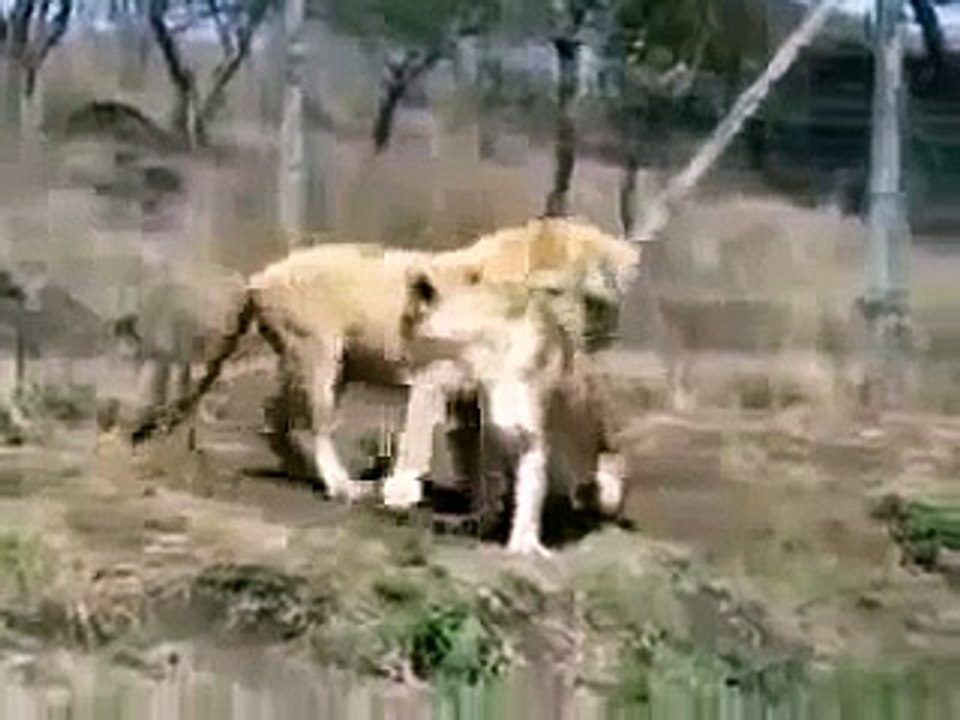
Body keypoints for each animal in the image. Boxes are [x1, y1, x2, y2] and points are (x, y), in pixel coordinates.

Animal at [128, 217, 641, 505]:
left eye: (595, 300)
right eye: (553, 291)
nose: (567, 337)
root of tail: (260, 276)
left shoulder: (474, 395)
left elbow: (472, 448)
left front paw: (480, 500)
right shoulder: (436, 374)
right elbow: (420, 433)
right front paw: (403, 490)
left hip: (324, 365)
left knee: (273, 416)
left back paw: (305, 473)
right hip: (320, 357)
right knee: (316, 424)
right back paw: (343, 487)